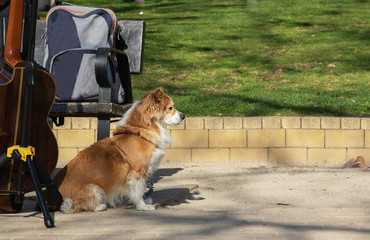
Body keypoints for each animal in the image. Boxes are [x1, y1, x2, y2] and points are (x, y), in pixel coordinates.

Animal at [51, 87, 185, 212]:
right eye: (170, 108)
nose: (183, 116)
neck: (141, 131)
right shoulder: (138, 171)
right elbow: (138, 191)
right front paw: (142, 206)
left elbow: (138, 190)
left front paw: (144, 201)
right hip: (94, 189)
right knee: (70, 205)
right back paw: (99, 206)